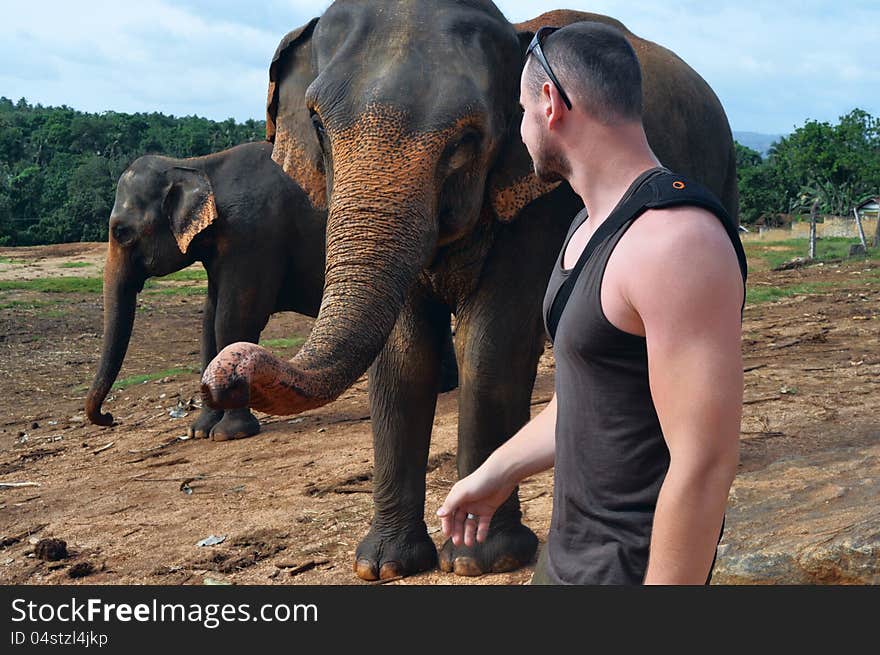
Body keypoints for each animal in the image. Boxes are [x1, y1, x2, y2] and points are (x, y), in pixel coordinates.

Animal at [86, 142, 460, 440]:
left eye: (121, 232)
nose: (109, 417)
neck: (199, 165)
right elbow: (208, 321)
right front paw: (199, 431)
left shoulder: (252, 237)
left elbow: (234, 319)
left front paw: (229, 434)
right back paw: (444, 388)